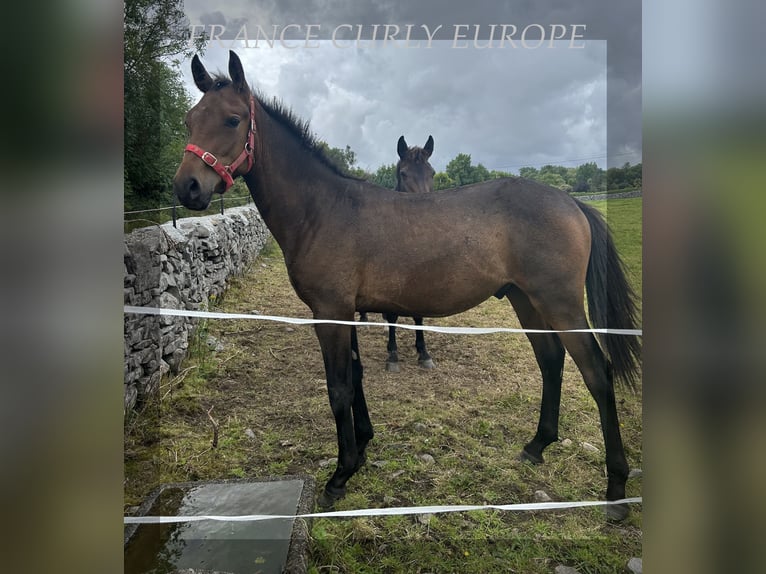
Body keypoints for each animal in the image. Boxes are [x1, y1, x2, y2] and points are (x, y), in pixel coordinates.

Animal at [172, 51, 640, 524]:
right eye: (190, 120)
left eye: (233, 120)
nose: (187, 187)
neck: (323, 210)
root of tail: (571, 202)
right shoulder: (347, 312)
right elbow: (357, 376)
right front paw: (361, 448)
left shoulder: (330, 313)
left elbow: (338, 387)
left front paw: (340, 476)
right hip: (526, 300)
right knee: (551, 360)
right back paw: (537, 445)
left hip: (560, 304)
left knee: (597, 373)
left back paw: (616, 489)